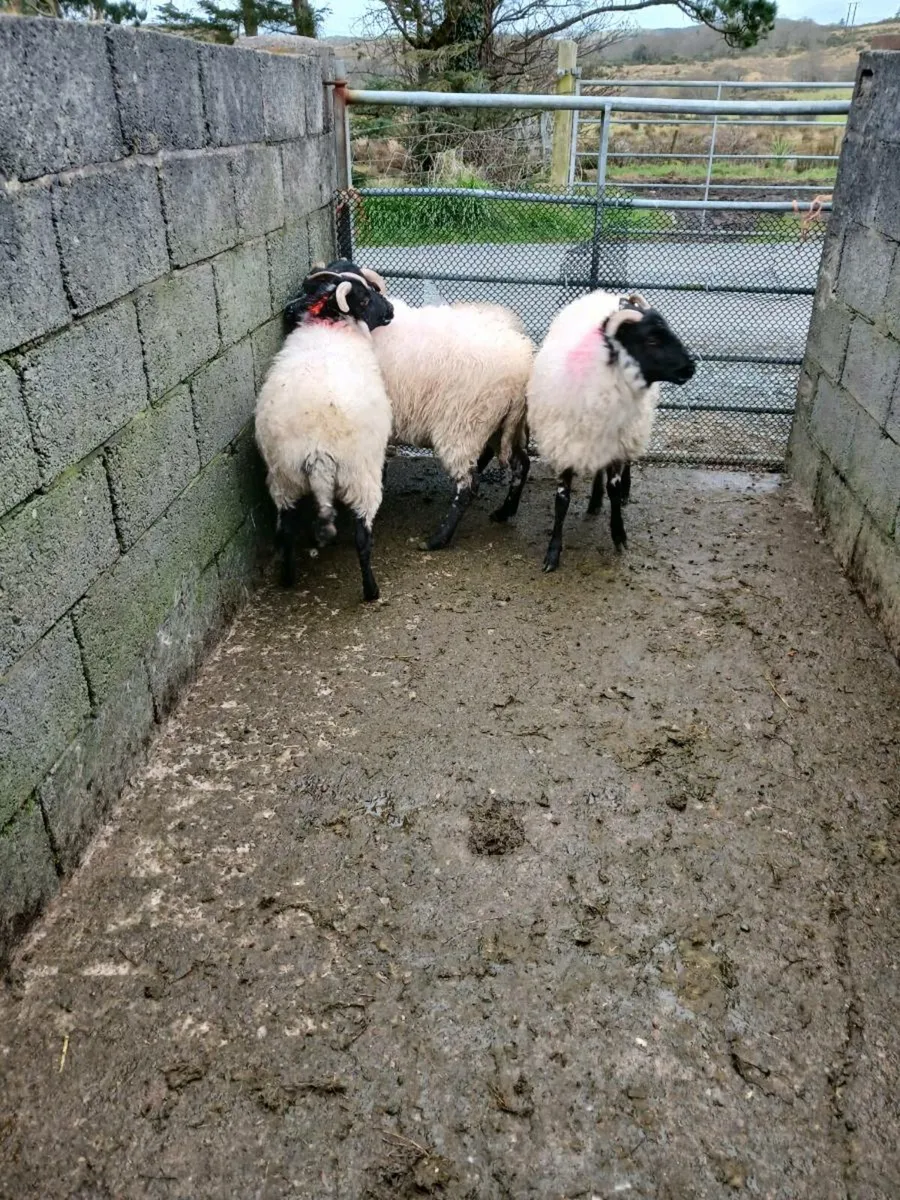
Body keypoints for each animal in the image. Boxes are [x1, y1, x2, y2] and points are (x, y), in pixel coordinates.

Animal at [255, 263, 395, 602]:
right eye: (366, 298)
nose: (391, 310)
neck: (331, 324)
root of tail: (318, 451)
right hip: (361, 478)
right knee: (362, 538)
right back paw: (371, 591)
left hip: (284, 479)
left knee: (285, 532)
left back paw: (288, 578)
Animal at [527, 290, 695, 573]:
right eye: (651, 339)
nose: (690, 368)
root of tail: (608, 294)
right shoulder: (564, 445)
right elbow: (562, 500)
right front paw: (552, 553)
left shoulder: (617, 444)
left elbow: (614, 490)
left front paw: (619, 537)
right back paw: (594, 502)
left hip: (630, 431)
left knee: (624, 468)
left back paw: (621, 493)